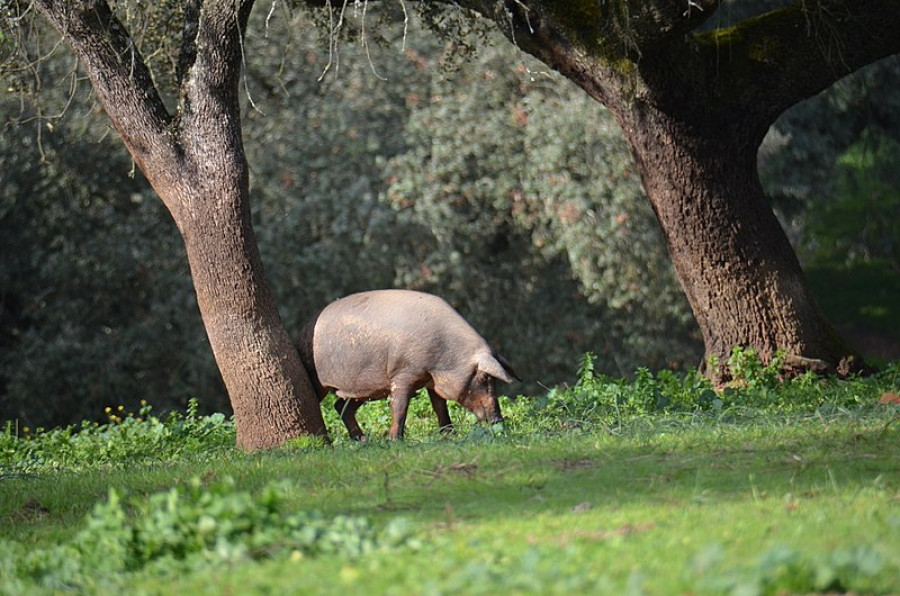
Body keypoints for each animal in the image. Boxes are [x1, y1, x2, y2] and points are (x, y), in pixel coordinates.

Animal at [298, 292, 516, 440]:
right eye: (485, 377)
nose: (499, 420)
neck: (445, 357)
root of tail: (304, 327)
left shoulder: (431, 380)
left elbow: (440, 407)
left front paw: (449, 435)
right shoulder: (403, 373)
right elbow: (400, 407)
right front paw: (395, 440)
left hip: (363, 389)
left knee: (341, 406)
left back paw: (363, 439)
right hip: (315, 374)